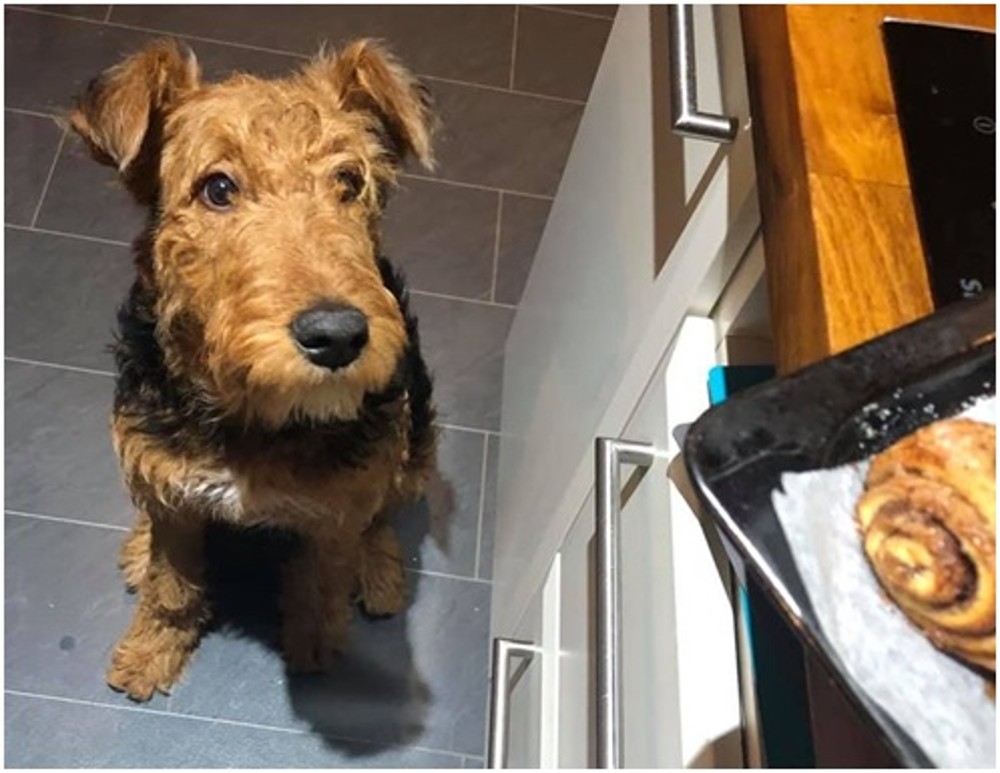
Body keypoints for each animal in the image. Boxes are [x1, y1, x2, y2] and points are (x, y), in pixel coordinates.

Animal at [68, 38, 438, 701]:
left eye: (350, 181)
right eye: (218, 187)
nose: (337, 336)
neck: (250, 413)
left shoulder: (339, 508)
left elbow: (322, 578)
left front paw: (315, 644)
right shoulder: (173, 496)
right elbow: (171, 587)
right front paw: (151, 654)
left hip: (411, 434)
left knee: (385, 510)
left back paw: (379, 574)